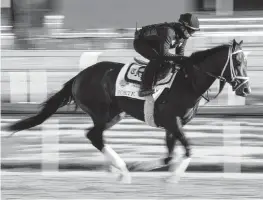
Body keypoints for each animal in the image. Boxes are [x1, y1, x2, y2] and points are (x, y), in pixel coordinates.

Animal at [4, 38, 252, 183]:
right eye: (238, 62)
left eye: (246, 62)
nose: (246, 89)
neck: (188, 81)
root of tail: (79, 76)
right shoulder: (173, 122)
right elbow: (188, 150)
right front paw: (168, 175)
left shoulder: (171, 125)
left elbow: (169, 154)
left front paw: (150, 168)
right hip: (102, 113)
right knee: (94, 135)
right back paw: (121, 169)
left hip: (115, 114)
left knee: (94, 136)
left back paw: (117, 168)